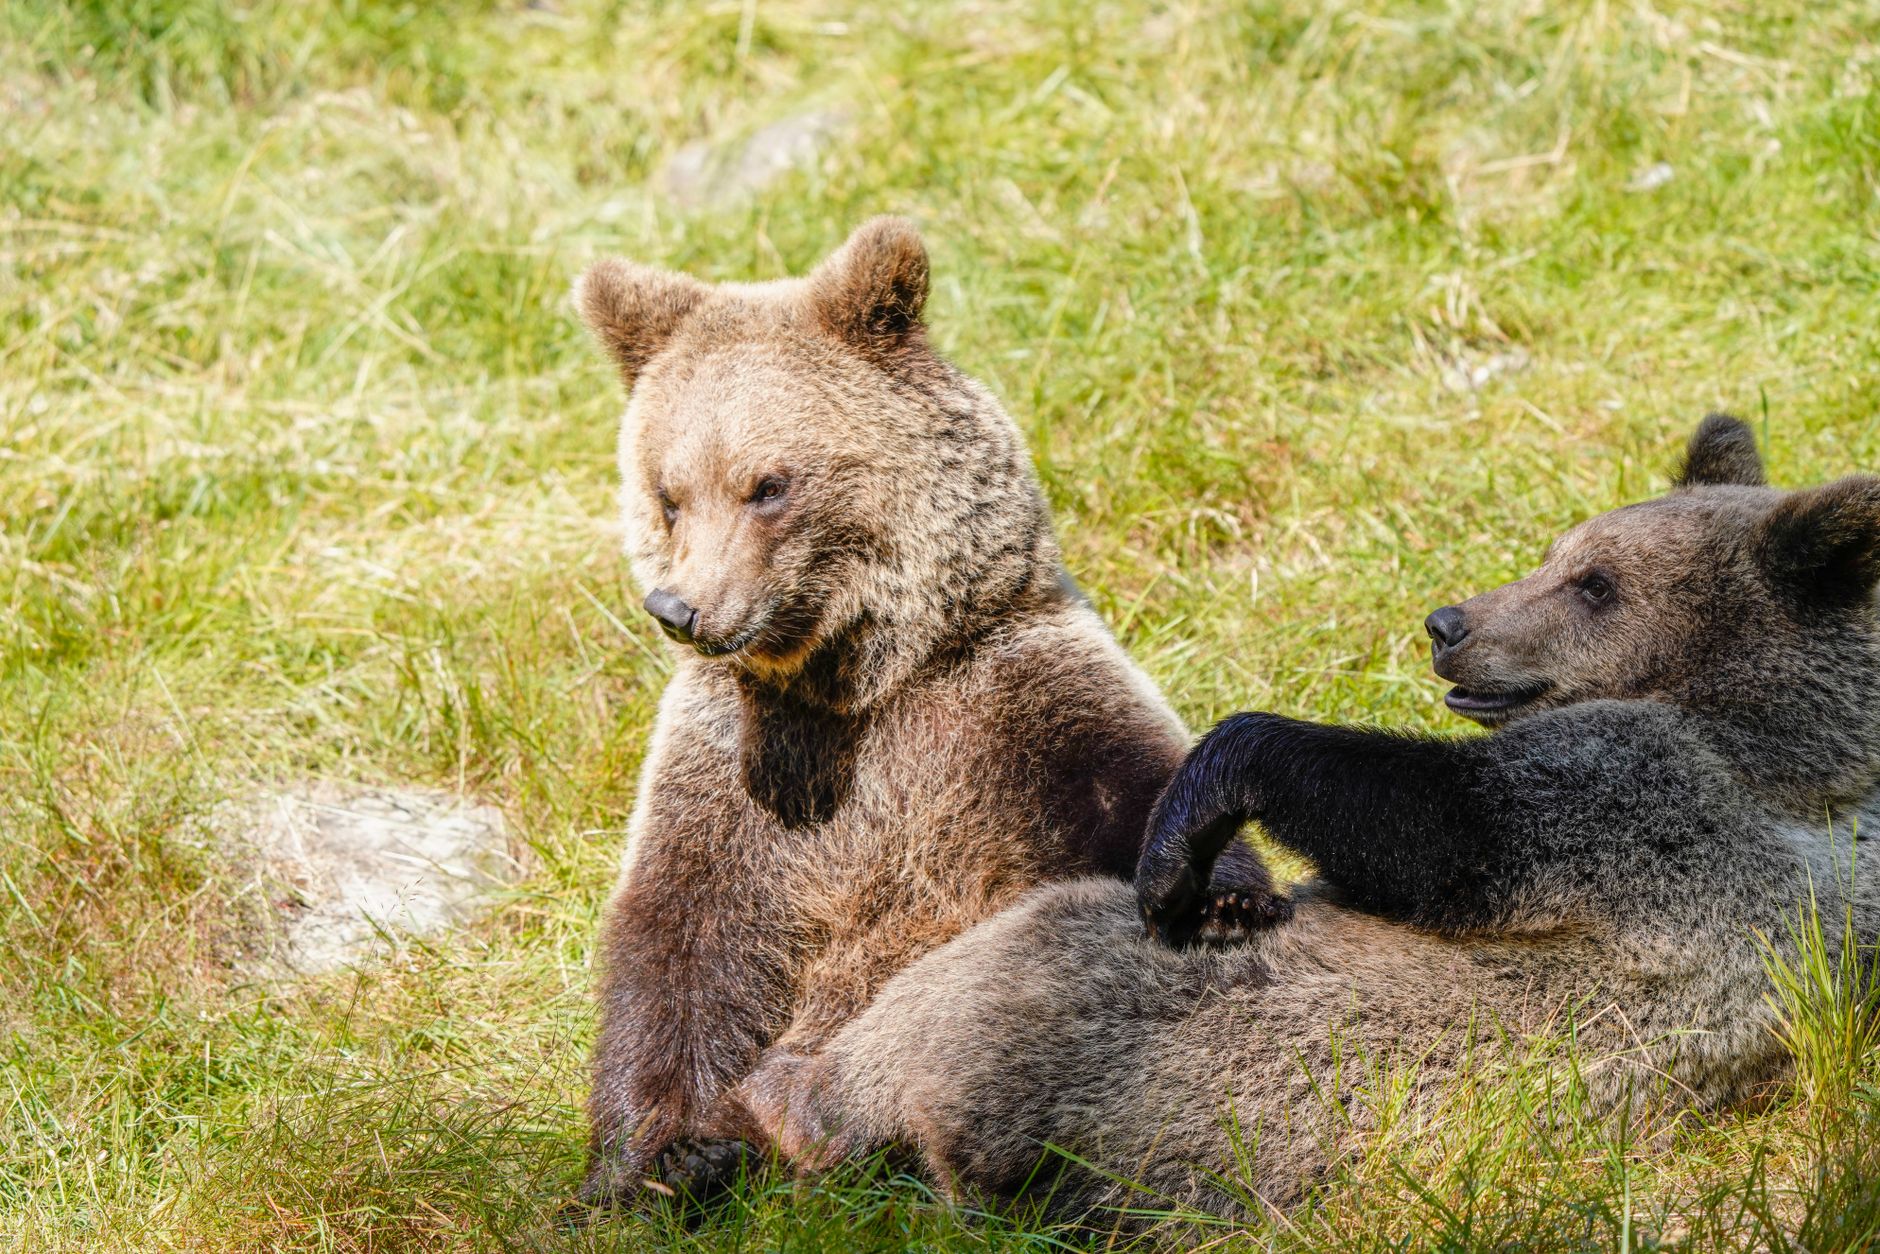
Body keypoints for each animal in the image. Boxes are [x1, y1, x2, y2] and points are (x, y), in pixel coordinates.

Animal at [570, 217, 1282, 1207]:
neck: (863, 682)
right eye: (669, 493)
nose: (681, 608)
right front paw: (671, 1156)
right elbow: (680, 943)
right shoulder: (740, 767)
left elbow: (1130, 792)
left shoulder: (1008, 699)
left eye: (769, 484)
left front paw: (1220, 897)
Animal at [763, 414, 1880, 1223]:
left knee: (998, 977)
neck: (1785, 748)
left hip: (1126, 1068)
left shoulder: (1659, 815)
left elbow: (1441, 826)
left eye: (1596, 583)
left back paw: (800, 1103)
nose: (1448, 624)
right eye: (1559, 548)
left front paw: (1193, 828)